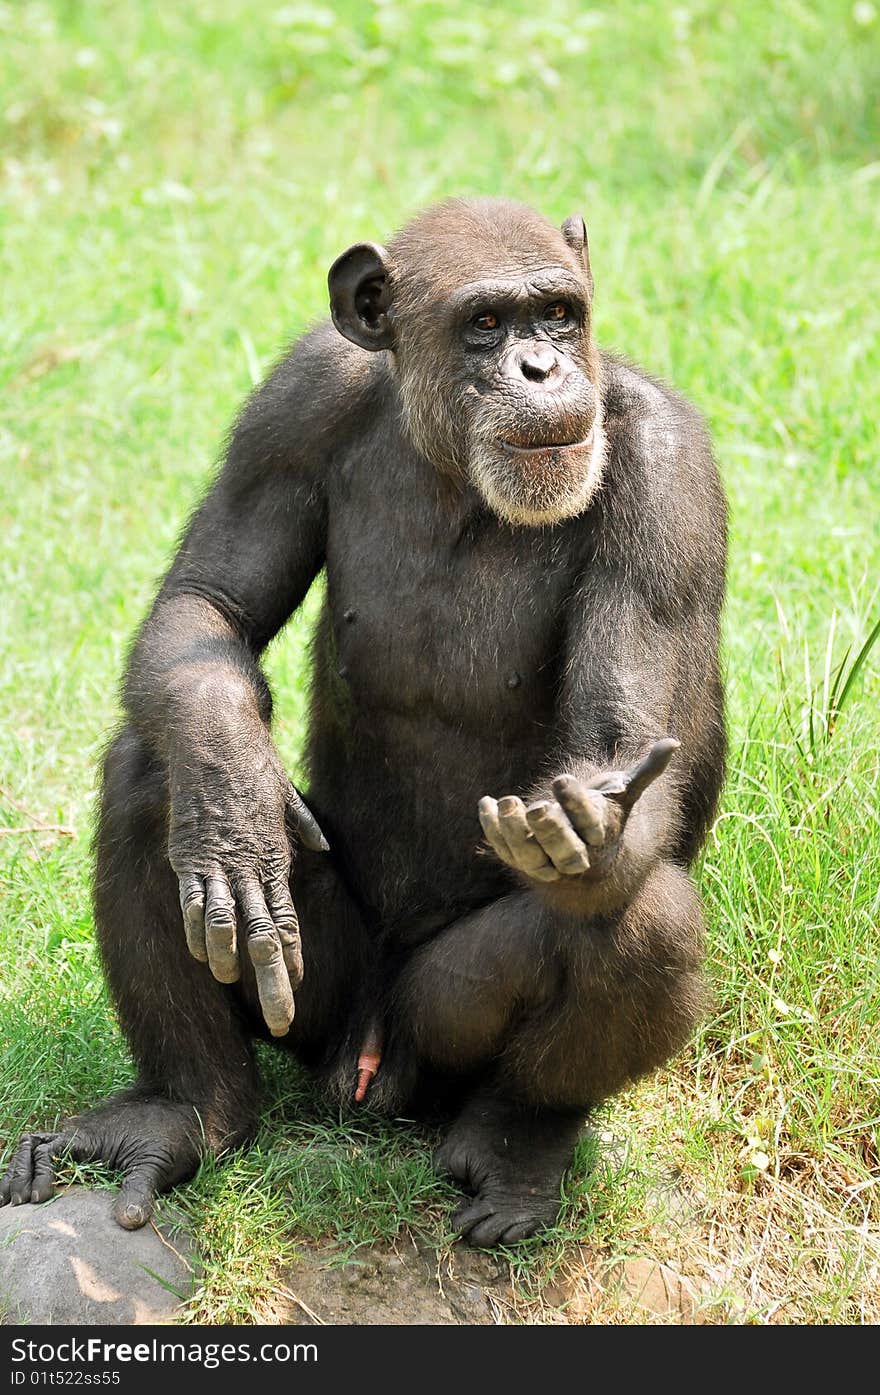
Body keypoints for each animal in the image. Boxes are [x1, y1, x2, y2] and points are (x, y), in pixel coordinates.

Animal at [0, 193, 730, 1244]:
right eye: (485, 324)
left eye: (557, 314)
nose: (541, 370)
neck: (450, 459)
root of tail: (367, 1066)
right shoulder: (295, 402)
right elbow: (210, 604)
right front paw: (232, 801)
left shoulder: (670, 476)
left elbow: (622, 749)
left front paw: (581, 826)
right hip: (315, 1008)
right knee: (149, 770)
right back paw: (182, 1111)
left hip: (437, 1034)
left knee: (643, 924)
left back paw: (515, 1144)